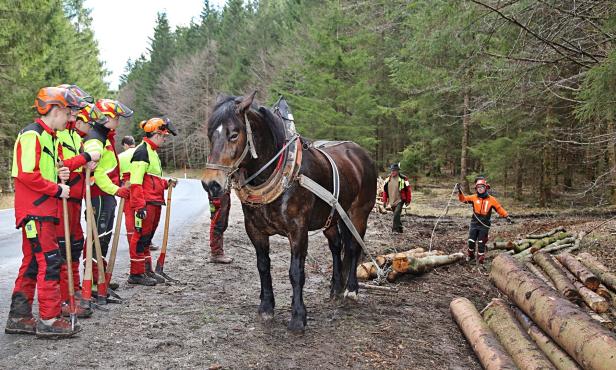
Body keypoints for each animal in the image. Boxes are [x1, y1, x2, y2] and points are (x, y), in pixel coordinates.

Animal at [203, 92, 376, 332]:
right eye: (210, 134)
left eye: (234, 134)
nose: (211, 184)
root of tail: (361, 154)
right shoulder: (254, 230)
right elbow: (263, 266)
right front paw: (266, 307)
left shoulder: (298, 230)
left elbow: (296, 272)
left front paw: (298, 317)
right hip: (332, 217)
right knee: (336, 247)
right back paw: (335, 288)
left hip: (358, 214)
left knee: (352, 247)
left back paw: (351, 289)